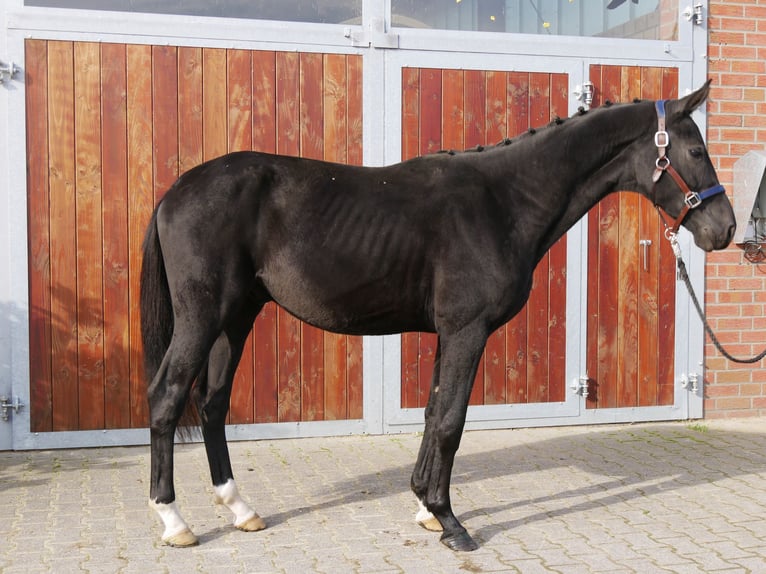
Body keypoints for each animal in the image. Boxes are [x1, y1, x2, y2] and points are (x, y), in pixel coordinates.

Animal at [142, 82, 736, 552]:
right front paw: (451, 523)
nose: (726, 229)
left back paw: (241, 509)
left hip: (235, 318)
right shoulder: (467, 331)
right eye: (695, 149)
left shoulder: (447, 335)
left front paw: (426, 509)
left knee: (212, 403)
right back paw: (174, 521)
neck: (502, 201)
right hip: (202, 318)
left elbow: (431, 414)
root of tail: (175, 192)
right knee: (167, 397)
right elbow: (451, 422)